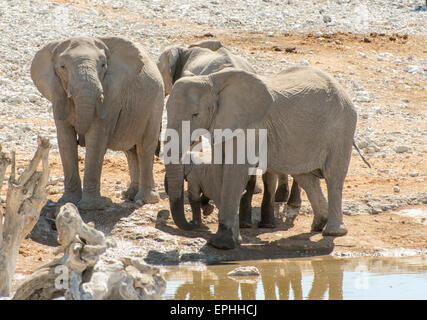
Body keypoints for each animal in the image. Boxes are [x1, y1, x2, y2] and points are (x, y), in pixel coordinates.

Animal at [30, 36, 165, 210]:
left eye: (103, 65)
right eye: (62, 67)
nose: (80, 140)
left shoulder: (111, 94)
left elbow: (97, 138)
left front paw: (91, 206)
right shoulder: (57, 92)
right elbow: (65, 139)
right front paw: (67, 201)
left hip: (155, 103)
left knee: (144, 147)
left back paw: (146, 199)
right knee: (131, 151)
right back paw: (129, 195)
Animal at [166, 65, 370, 250]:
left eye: (195, 114)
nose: (194, 226)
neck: (211, 81)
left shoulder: (250, 126)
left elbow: (235, 171)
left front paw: (221, 244)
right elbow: (220, 170)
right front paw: (229, 239)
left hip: (342, 128)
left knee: (333, 176)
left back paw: (333, 232)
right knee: (306, 178)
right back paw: (318, 225)